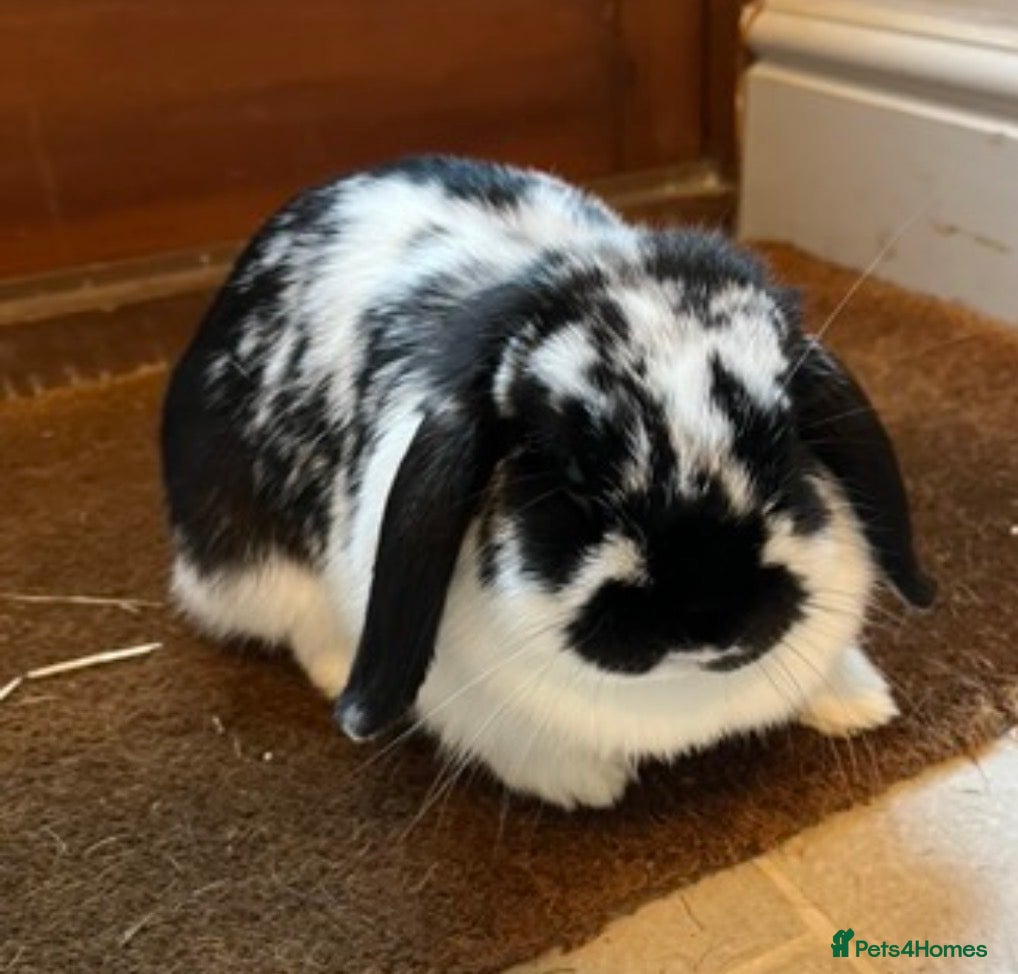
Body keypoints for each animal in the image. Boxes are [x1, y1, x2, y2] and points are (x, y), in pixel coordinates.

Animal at [161, 155, 935, 809]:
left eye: (779, 447)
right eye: (567, 478)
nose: (709, 620)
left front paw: (860, 704)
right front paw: (587, 785)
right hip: (252, 565)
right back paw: (333, 666)